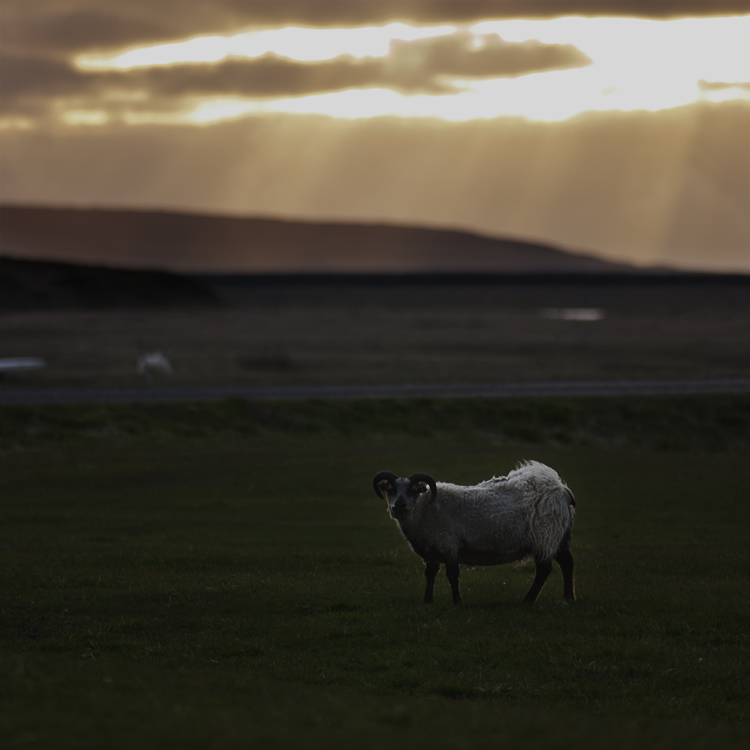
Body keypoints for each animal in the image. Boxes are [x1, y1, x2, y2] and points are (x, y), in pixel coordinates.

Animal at [374, 462, 580, 608]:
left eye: (413, 490)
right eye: (390, 490)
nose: (399, 506)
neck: (425, 509)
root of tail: (561, 488)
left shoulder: (449, 545)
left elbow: (452, 575)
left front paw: (457, 602)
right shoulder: (431, 551)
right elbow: (430, 575)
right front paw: (427, 601)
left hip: (545, 534)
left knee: (544, 569)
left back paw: (528, 600)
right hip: (559, 535)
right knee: (567, 562)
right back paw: (568, 598)